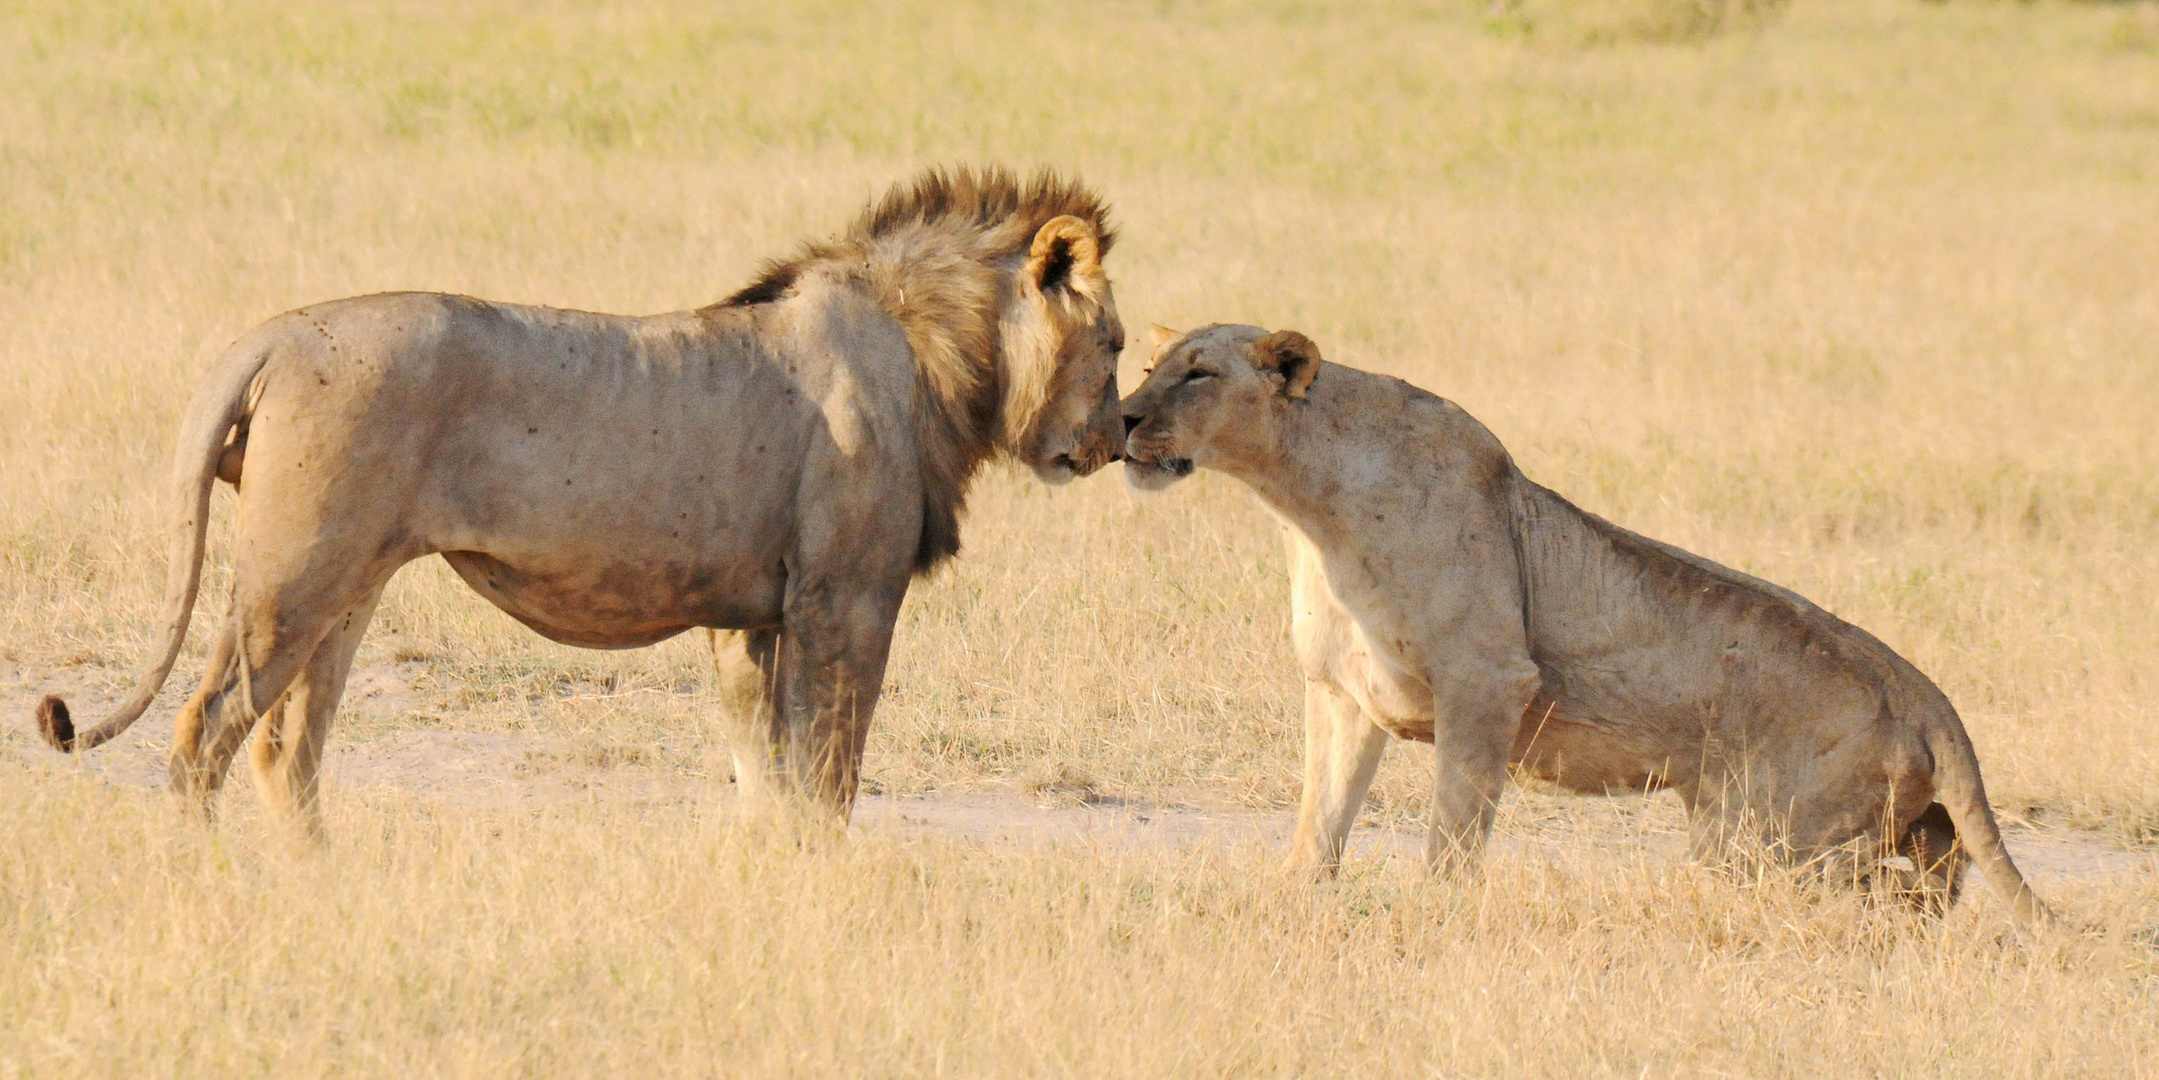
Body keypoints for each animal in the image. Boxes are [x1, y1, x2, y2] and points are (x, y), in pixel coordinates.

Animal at [38, 166, 1131, 833]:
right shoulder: (844, 599)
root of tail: (269, 334)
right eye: (1115, 343)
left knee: (286, 753)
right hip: (292, 579)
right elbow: (829, 778)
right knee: (204, 734)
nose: (1119, 438)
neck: (933, 357)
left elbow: (766, 781)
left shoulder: (747, 620)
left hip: (346, 589)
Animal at [1122, 321, 2046, 920]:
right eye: (1146, 363)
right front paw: (1294, 899)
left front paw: (1436, 914)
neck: (1302, 500)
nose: (1123, 418)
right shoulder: (1342, 693)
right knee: (1932, 873)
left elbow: (1453, 827)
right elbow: (1321, 816)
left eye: (1199, 374)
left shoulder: (1486, 681)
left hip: (1761, 835)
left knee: (1871, 889)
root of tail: (1920, 688)